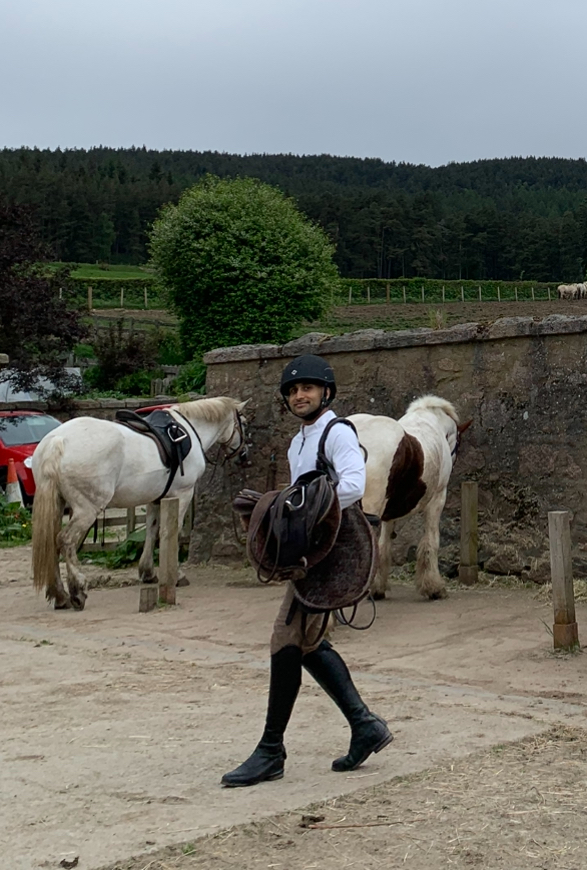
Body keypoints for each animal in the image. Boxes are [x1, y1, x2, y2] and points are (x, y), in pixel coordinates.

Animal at [31, 396, 249, 611]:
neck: (191, 430)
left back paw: (60, 595)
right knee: (65, 540)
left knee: (52, 543)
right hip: (87, 510)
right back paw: (77, 591)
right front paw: (177, 575)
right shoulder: (183, 494)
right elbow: (174, 532)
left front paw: (148, 572)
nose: (244, 456)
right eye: (244, 424)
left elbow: (152, 531)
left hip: (58, 505)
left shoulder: (155, 498)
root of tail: (58, 441)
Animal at [349, 396, 471, 600]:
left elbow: (384, 546)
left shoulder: (388, 512)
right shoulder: (437, 499)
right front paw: (433, 587)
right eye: (459, 442)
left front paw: (378, 588)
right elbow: (431, 541)